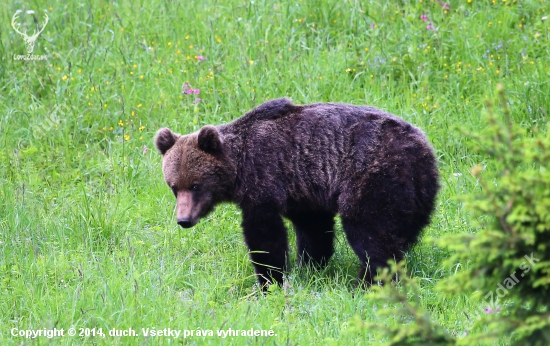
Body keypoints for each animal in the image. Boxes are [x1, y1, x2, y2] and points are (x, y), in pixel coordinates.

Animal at [155, 98, 440, 290]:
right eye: (174, 187)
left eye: (196, 185)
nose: (184, 220)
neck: (239, 168)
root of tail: (421, 148)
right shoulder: (304, 187)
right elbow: (314, 229)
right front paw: (310, 266)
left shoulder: (266, 178)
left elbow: (265, 235)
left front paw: (270, 280)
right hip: (416, 193)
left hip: (374, 176)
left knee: (370, 232)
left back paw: (367, 282)